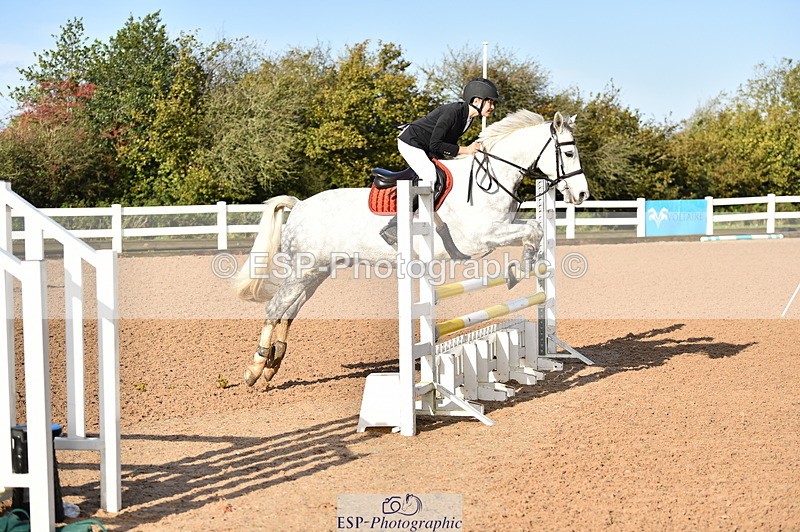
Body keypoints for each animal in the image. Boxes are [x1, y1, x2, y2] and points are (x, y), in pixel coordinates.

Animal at [235, 110, 589, 387]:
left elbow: (536, 230)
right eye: (569, 153)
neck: (489, 178)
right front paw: (520, 270)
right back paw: (255, 368)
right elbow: (531, 230)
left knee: (289, 309)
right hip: (304, 269)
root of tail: (299, 206)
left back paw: (273, 365)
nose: (582, 195)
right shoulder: (479, 238)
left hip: (317, 270)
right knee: (275, 308)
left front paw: (527, 266)